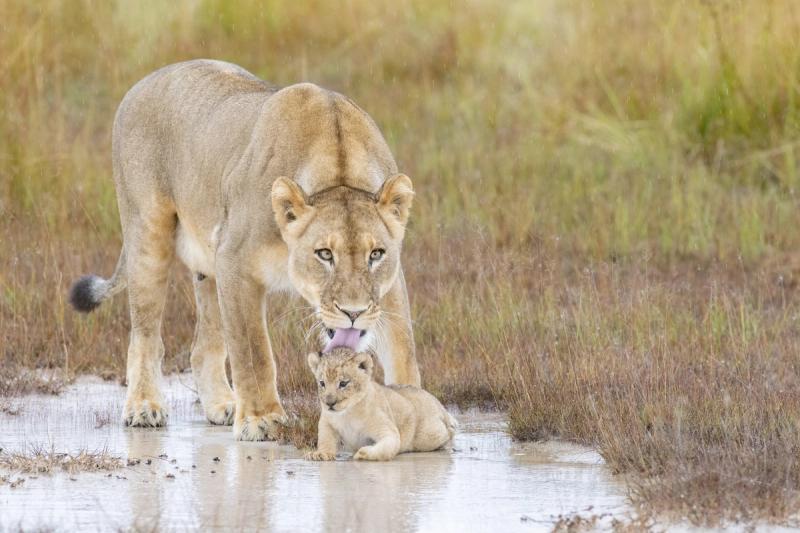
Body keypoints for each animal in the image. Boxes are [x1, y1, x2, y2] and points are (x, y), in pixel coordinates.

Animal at [68, 59, 420, 441]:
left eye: (376, 254)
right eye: (325, 254)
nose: (353, 313)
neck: (339, 173)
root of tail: (145, 80)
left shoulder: (390, 286)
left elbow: (403, 346)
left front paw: (415, 408)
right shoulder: (236, 262)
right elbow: (254, 353)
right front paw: (262, 419)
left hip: (209, 263)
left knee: (202, 346)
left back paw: (223, 406)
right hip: (149, 234)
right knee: (146, 335)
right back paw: (144, 407)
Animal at [305, 348, 457, 461]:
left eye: (343, 383)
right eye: (322, 383)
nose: (329, 403)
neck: (347, 414)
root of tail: (436, 401)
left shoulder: (387, 429)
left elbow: (387, 446)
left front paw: (362, 453)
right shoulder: (326, 422)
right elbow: (325, 439)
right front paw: (320, 454)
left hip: (428, 434)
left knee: (447, 433)